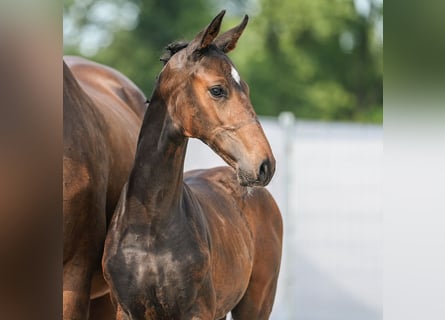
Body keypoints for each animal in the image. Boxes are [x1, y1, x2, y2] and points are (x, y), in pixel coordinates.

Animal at [103, 10, 282, 320]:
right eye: (217, 90)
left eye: (245, 88)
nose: (264, 165)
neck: (148, 225)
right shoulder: (125, 310)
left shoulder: (197, 311)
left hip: (257, 303)